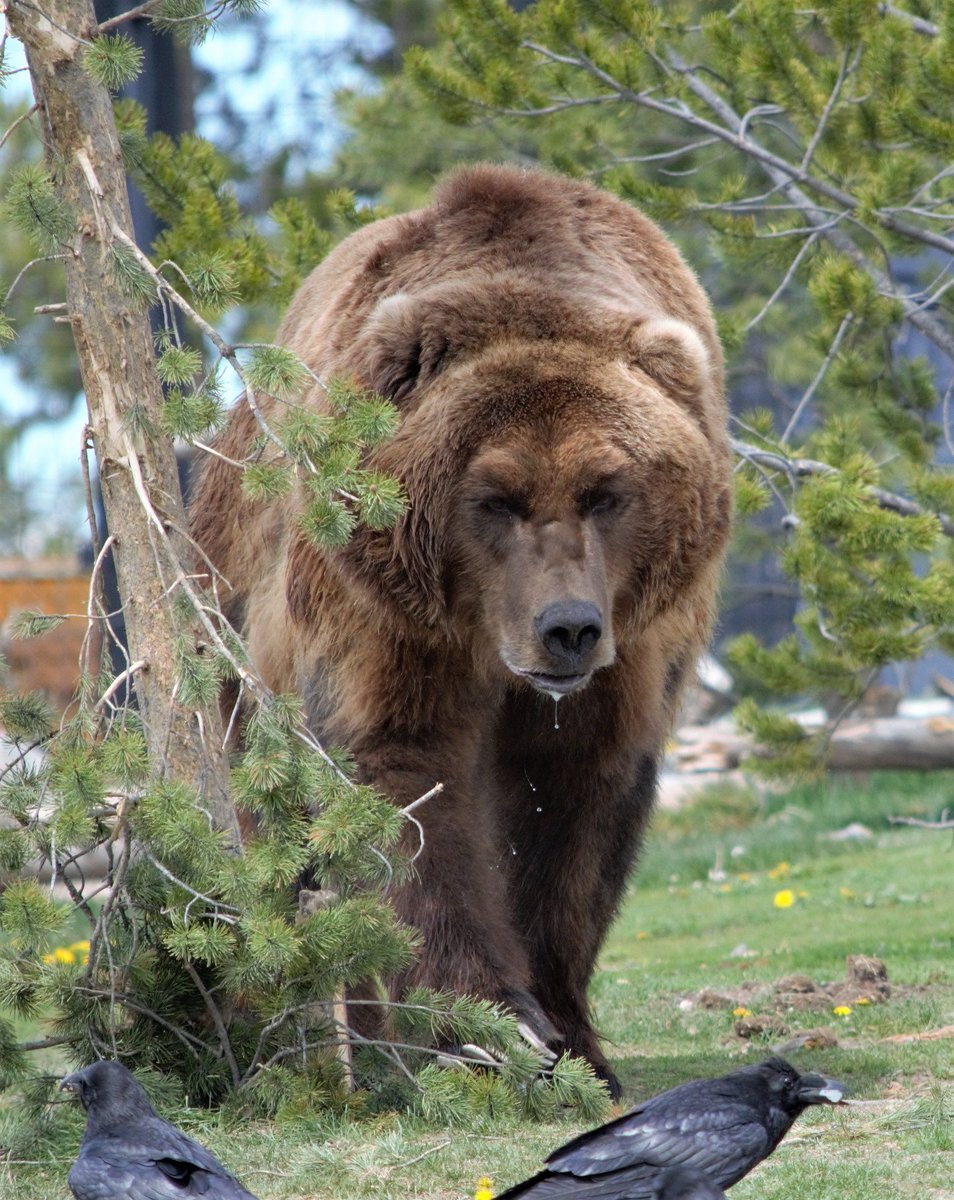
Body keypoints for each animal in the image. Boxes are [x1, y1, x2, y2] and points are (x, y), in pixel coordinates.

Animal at [190, 162, 734, 1099]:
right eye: (494, 498)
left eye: (607, 491)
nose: (568, 629)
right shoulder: (386, 616)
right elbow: (403, 789)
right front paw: (487, 1030)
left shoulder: (637, 647)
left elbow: (572, 814)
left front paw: (570, 1040)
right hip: (228, 627)